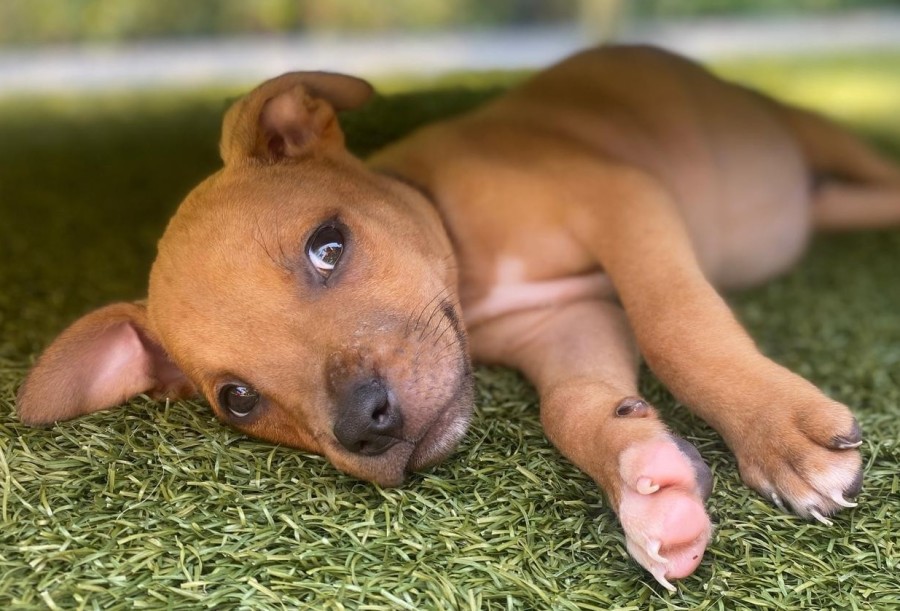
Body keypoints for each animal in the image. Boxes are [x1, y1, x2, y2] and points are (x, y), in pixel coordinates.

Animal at [16, 45, 900, 590]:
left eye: (328, 244)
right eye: (237, 399)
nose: (367, 425)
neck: (471, 274)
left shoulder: (623, 200)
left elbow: (675, 322)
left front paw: (779, 434)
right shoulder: (566, 322)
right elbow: (573, 407)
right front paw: (649, 486)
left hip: (808, 133)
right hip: (832, 201)